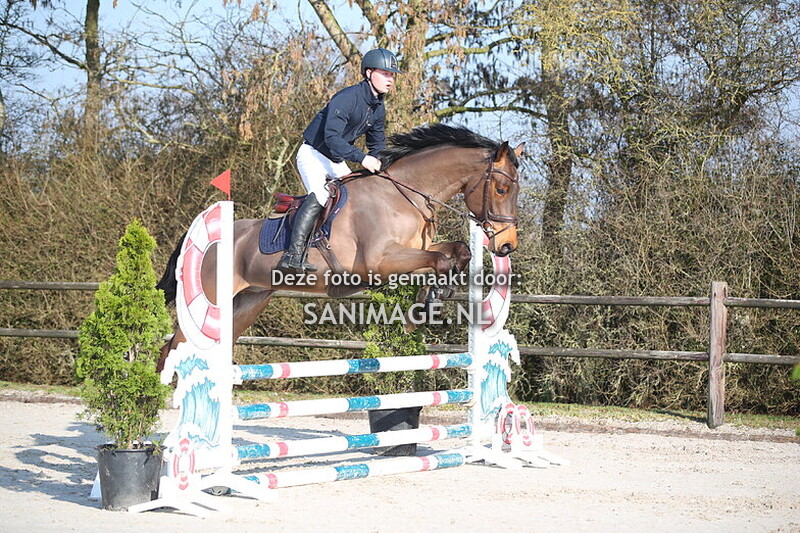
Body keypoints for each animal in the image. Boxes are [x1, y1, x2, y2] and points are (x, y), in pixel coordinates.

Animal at [156, 124, 524, 369]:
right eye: (502, 189)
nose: (507, 245)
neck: (403, 196)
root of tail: (197, 239)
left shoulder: (411, 256)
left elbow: (455, 252)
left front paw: (432, 299)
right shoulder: (380, 263)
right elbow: (441, 261)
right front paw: (423, 309)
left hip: (248, 302)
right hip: (214, 299)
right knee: (174, 346)